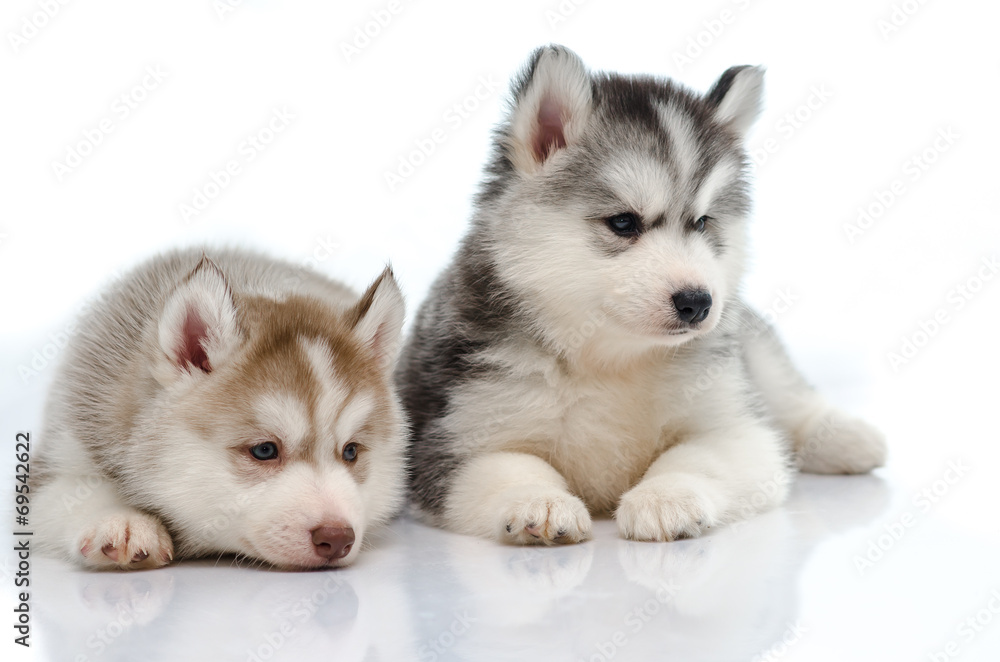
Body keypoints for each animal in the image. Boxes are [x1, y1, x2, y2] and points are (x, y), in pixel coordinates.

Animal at [33, 249, 406, 572]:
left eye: (351, 451)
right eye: (264, 450)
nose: (338, 538)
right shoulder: (61, 444)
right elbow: (70, 489)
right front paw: (121, 519)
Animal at [394, 45, 888, 544]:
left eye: (703, 223)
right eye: (623, 222)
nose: (698, 302)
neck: (611, 361)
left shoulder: (736, 429)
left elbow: (696, 458)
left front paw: (666, 498)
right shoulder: (451, 441)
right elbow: (510, 466)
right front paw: (539, 502)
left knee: (789, 394)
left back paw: (843, 436)